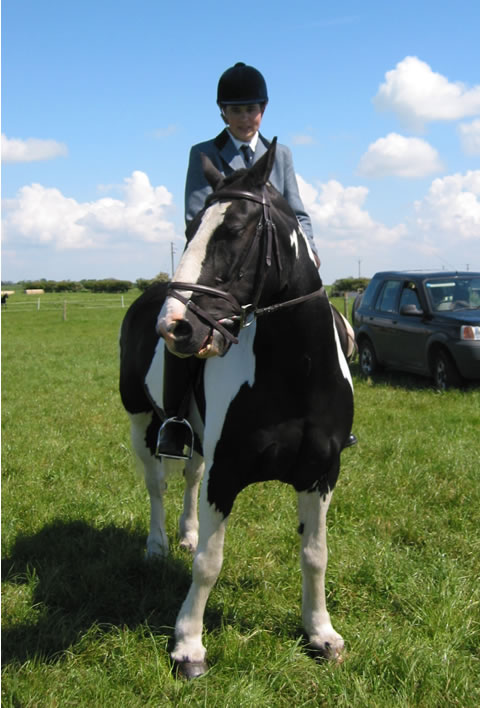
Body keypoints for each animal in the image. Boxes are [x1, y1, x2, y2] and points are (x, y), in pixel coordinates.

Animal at [118, 137, 354, 676]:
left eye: (235, 229)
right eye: (190, 230)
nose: (173, 327)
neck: (294, 373)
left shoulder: (321, 472)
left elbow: (316, 554)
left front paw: (320, 633)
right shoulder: (227, 473)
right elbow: (209, 562)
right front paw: (188, 644)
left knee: (188, 477)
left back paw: (183, 534)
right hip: (141, 419)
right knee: (157, 484)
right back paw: (158, 546)